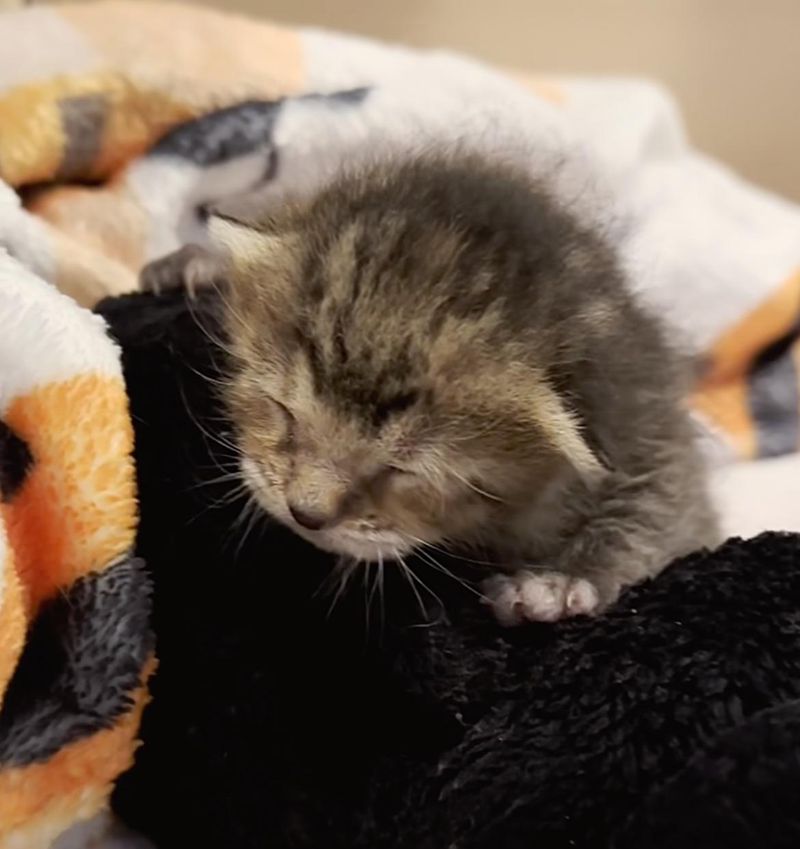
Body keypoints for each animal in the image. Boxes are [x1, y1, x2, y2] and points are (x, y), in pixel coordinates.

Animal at [139, 152, 720, 624]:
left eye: (404, 470)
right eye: (282, 410)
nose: (305, 512)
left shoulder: (645, 421)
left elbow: (662, 513)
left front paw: (562, 580)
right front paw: (202, 264)